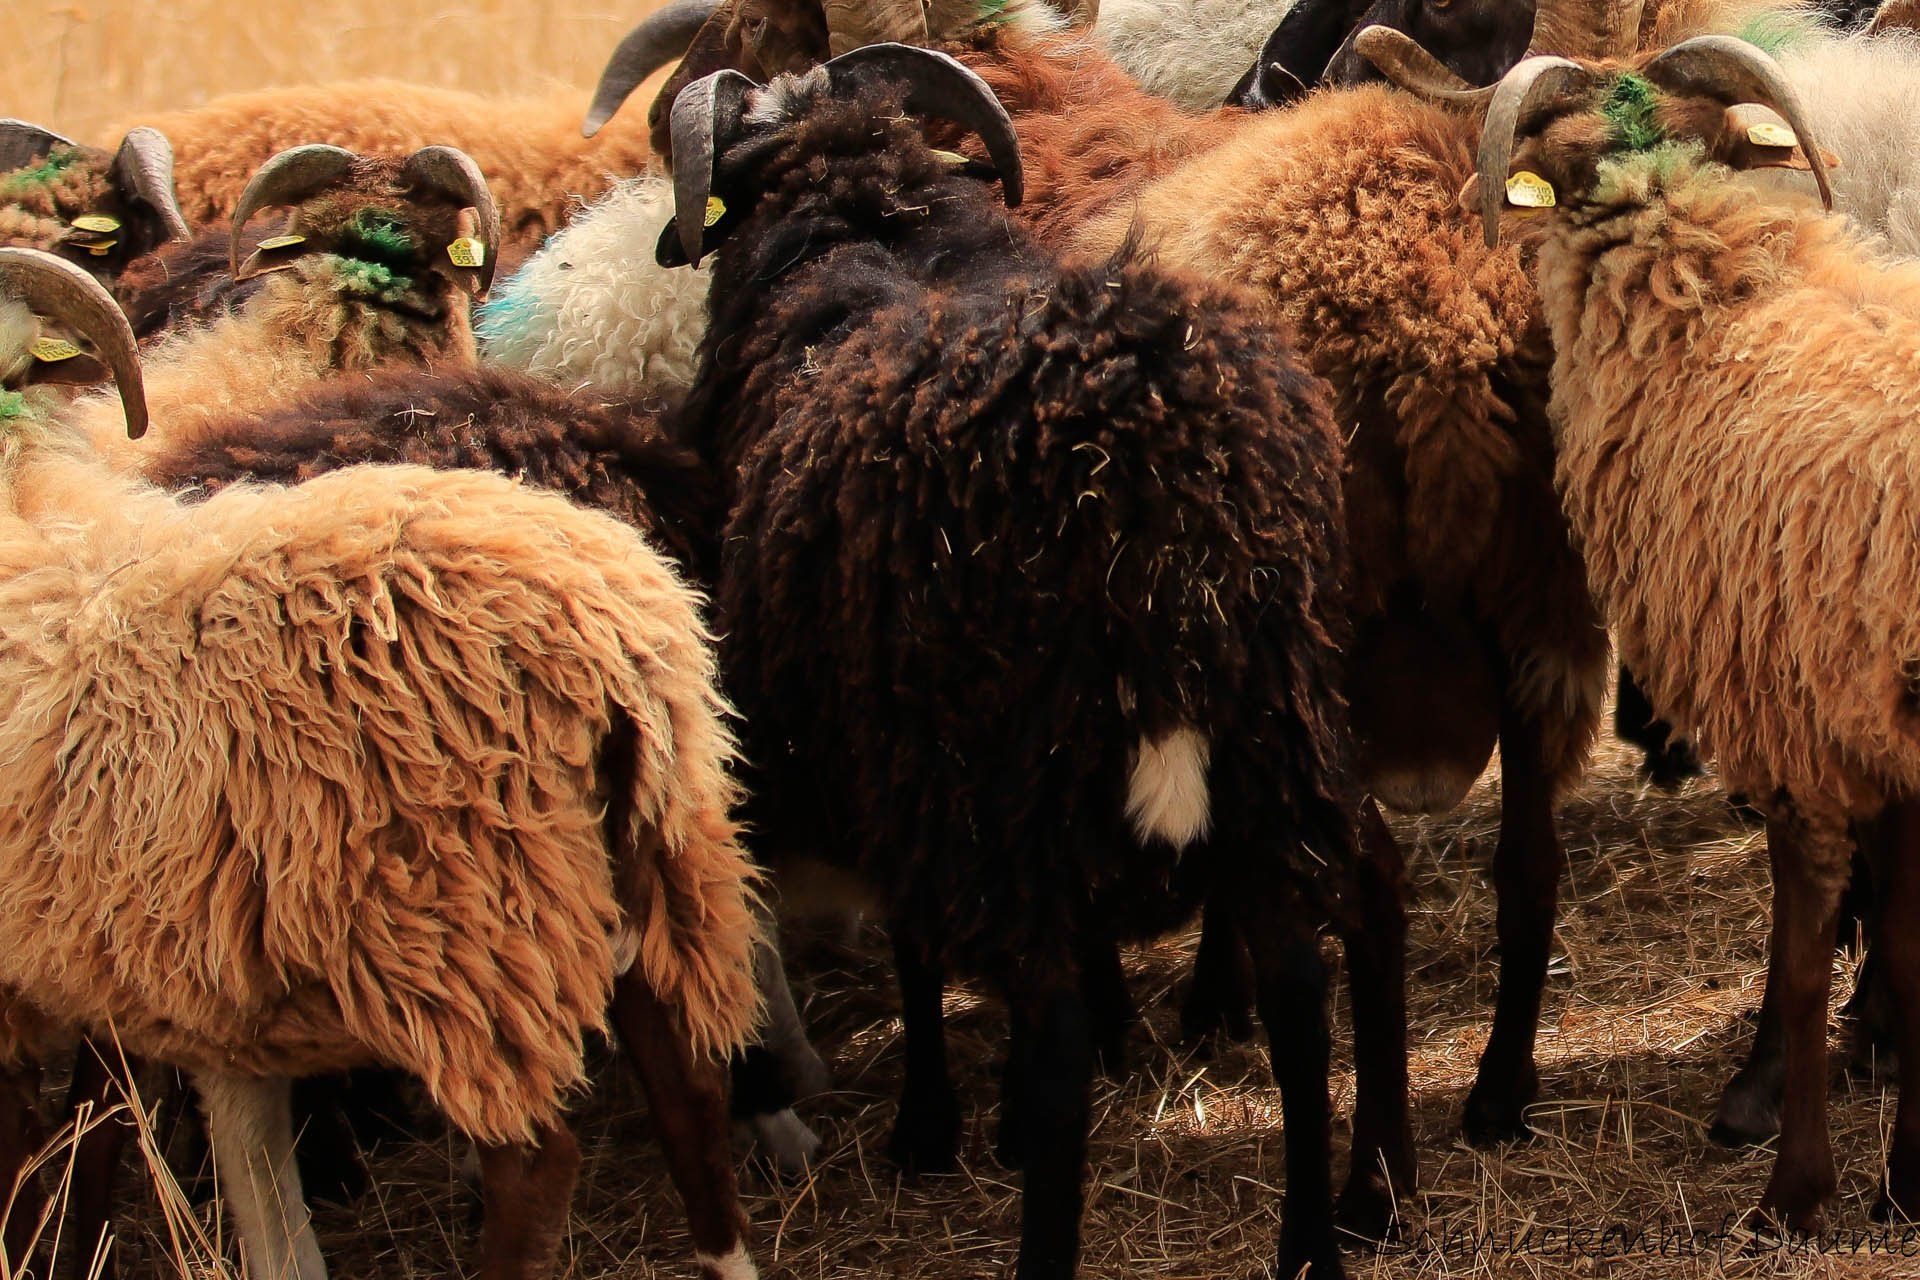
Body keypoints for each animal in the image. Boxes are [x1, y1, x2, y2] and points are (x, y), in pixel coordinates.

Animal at [0, 246, 765, 1280]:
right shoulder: (185, 961)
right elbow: (235, 1160)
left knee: (535, 1162)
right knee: (687, 1085)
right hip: (660, 853)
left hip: (465, 924)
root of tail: (604, 647)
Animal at [660, 43, 1360, 1278]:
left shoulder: (890, 754)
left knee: (1056, 1031)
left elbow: (914, 952)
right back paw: (1306, 1250)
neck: (867, 236)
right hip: (1266, 721)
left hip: (1009, 767)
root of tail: (1154, 461)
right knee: (1296, 985)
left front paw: (932, 1126)